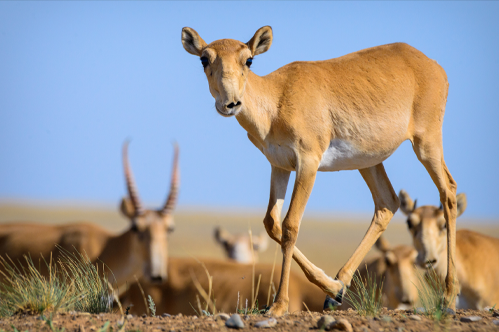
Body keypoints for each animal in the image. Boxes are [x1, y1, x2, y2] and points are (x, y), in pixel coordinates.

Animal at [182, 27, 458, 316]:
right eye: (204, 58)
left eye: (248, 59)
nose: (231, 103)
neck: (278, 97)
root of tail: (430, 64)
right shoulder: (280, 166)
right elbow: (272, 223)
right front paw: (333, 288)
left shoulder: (307, 164)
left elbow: (290, 225)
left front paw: (278, 305)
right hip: (369, 162)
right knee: (387, 204)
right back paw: (338, 287)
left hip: (426, 144)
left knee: (448, 192)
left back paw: (448, 297)